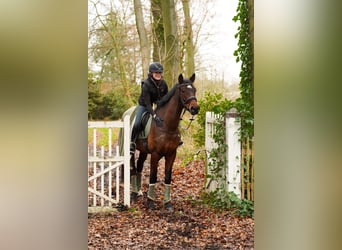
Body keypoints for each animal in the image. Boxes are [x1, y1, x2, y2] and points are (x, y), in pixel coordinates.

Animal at [129, 73, 199, 210]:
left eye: (194, 90)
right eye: (183, 90)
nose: (195, 108)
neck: (167, 125)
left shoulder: (171, 154)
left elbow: (167, 177)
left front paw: (168, 203)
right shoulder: (155, 154)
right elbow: (153, 176)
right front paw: (150, 202)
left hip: (144, 151)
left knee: (139, 166)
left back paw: (139, 192)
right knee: (133, 168)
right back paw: (134, 194)